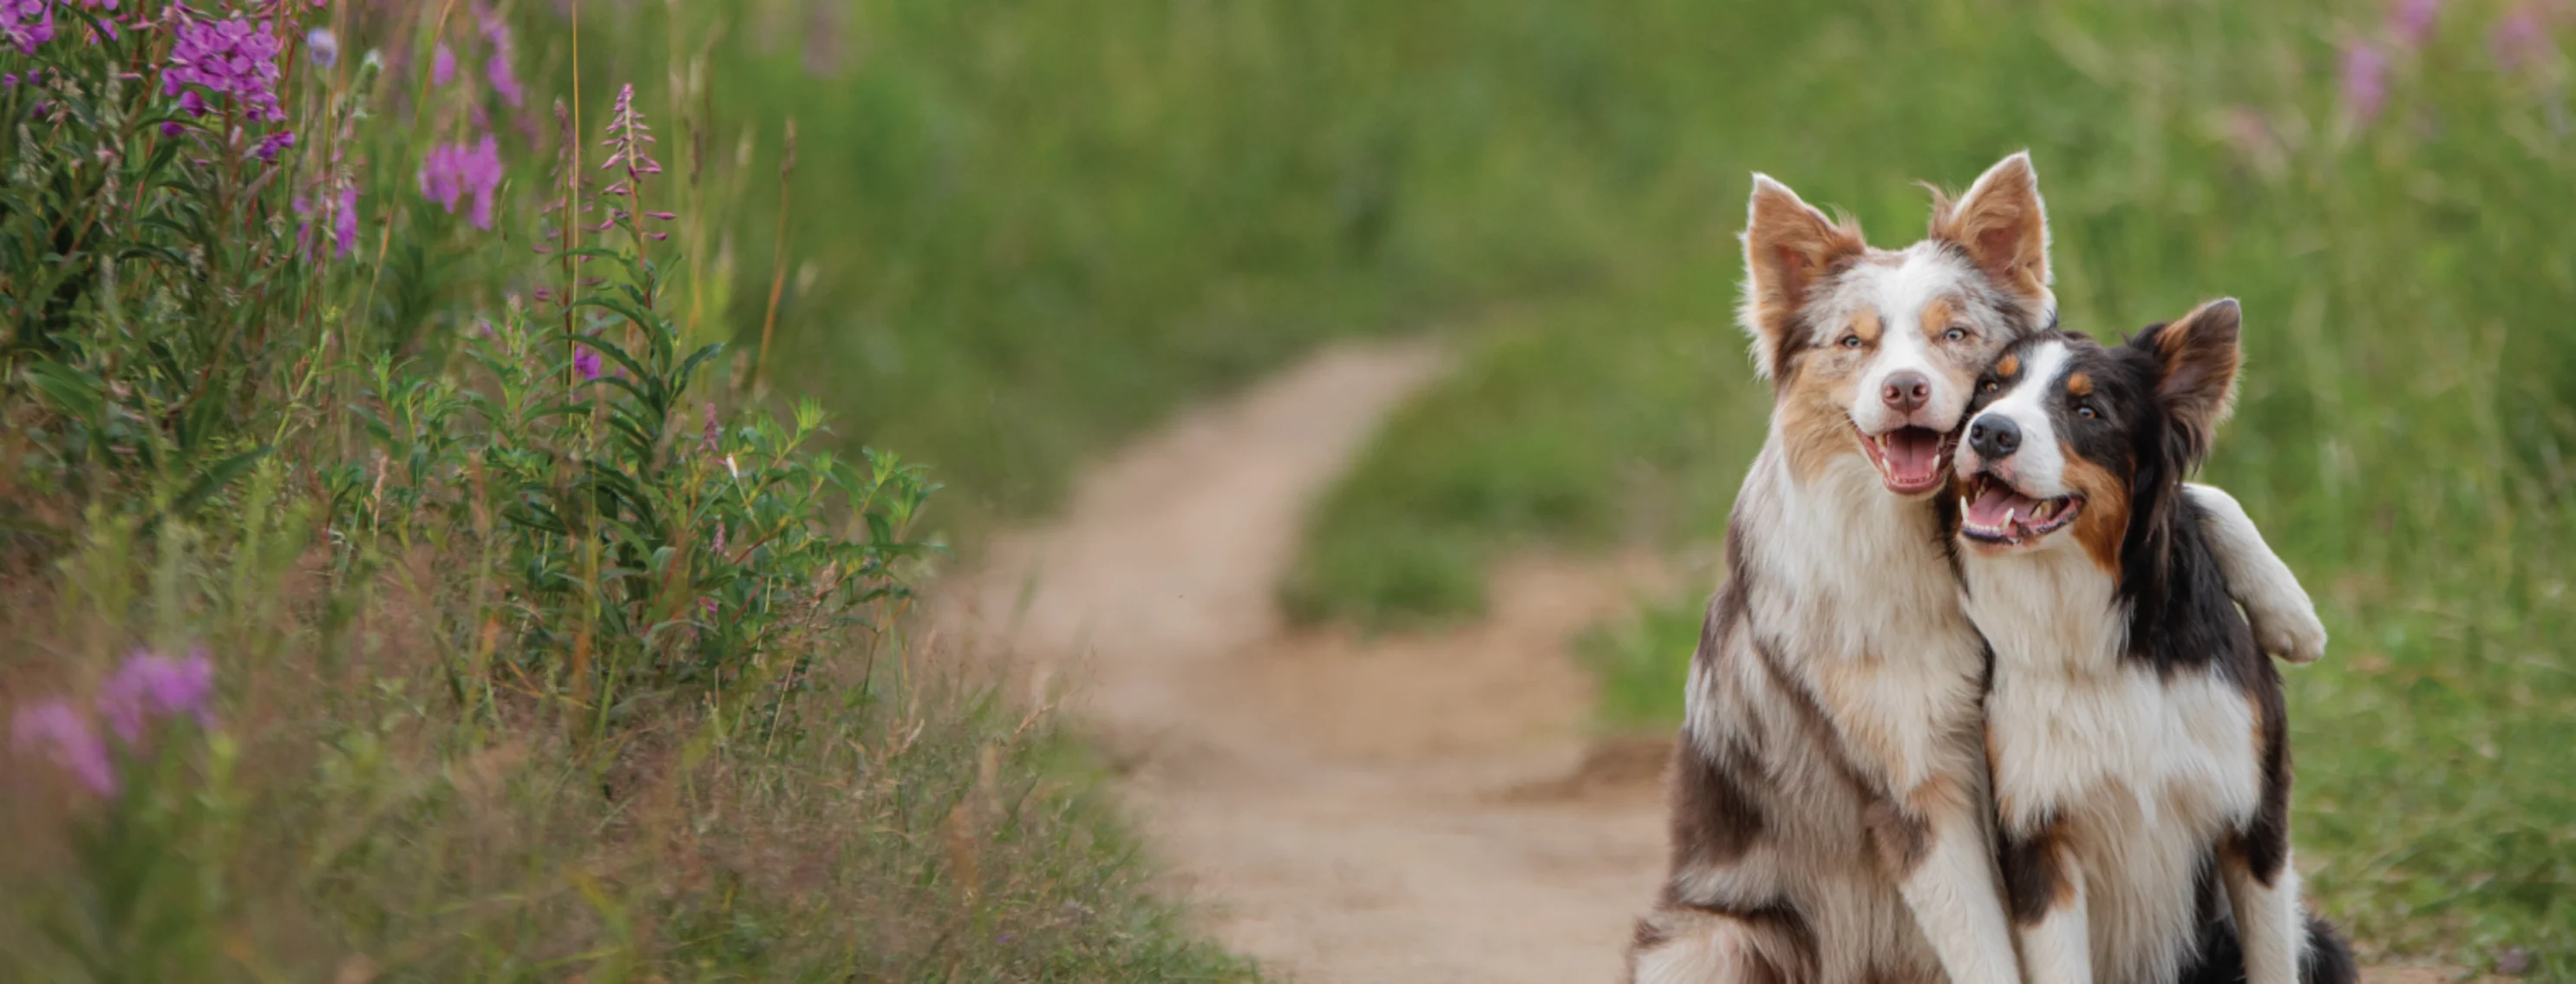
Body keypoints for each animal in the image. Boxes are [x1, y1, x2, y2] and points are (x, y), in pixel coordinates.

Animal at [1947, 299, 2359, 984]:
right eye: (1988, 388)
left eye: (2088, 411)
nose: (1990, 433)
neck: (2096, 638)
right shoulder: (2039, 843)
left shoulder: (2254, 818)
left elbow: (2273, 959)